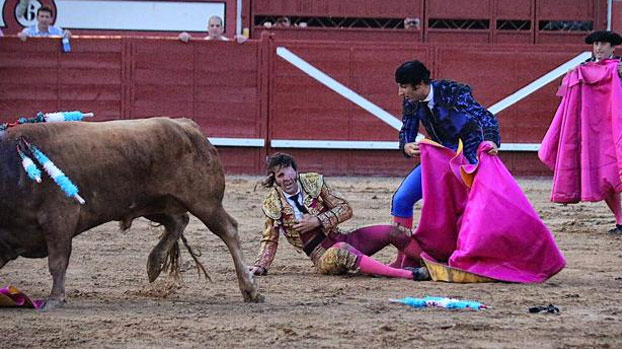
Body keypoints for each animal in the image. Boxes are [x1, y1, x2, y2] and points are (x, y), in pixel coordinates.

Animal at [0, 117, 262, 310]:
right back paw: (154, 264)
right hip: (153, 203)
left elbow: (57, 261)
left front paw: (54, 299)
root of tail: (188, 126)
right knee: (178, 221)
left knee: (228, 230)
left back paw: (250, 289)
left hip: (205, 202)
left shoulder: (59, 219)